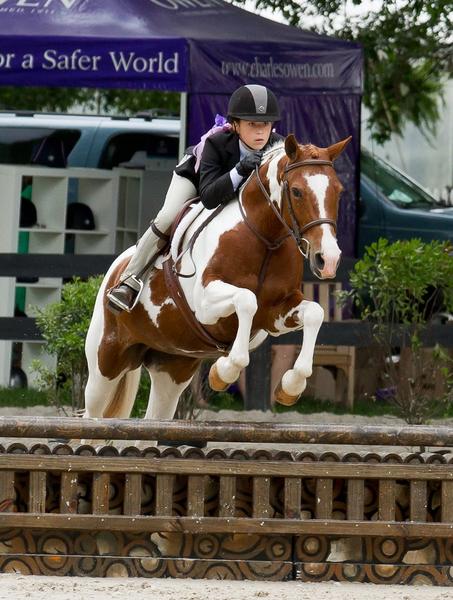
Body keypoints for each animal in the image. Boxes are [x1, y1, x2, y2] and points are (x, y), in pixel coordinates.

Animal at [83, 133, 351, 426]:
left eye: (338, 191)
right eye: (297, 191)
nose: (329, 259)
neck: (265, 239)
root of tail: (116, 269)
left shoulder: (276, 314)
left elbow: (314, 312)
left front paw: (291, 387)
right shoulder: (205, 304)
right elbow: (247, 300)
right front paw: (223, 372)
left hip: (172, 367)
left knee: (156, 416)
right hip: (105, 362)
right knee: (91, 413)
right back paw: (123, 292)